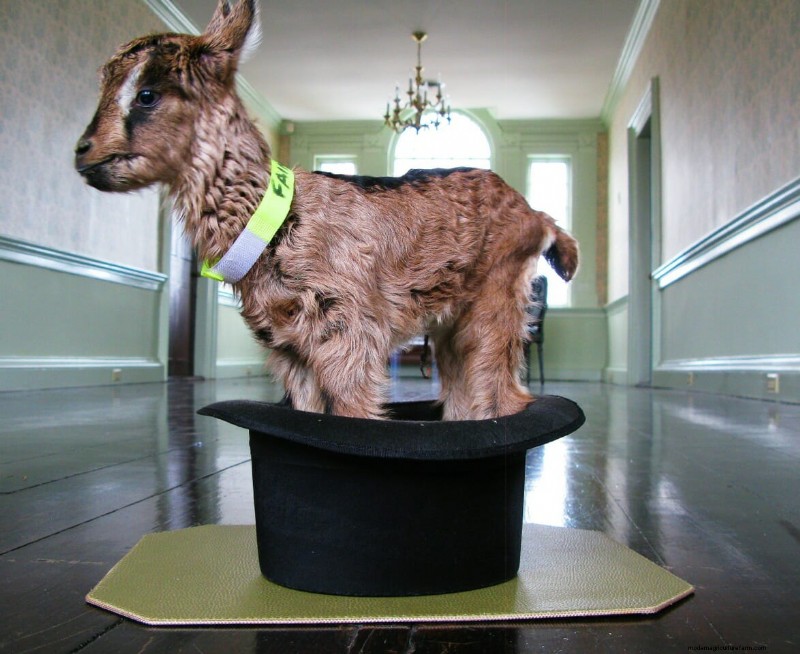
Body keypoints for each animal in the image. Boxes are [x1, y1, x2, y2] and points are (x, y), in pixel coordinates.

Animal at [74, 0, 579, 421]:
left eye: (147, 94)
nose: (83, 152)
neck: (273, 221)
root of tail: (538, 218)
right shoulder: (290, 352)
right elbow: (311, 417)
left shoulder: (349, 336)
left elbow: (352, 417)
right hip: (451, 322)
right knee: (464, 394)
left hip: (494, 299)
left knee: (503, 395)